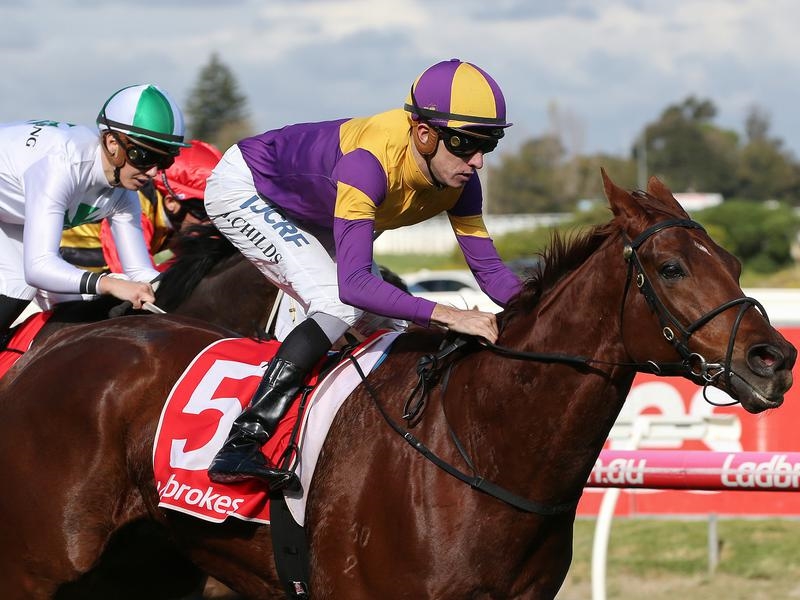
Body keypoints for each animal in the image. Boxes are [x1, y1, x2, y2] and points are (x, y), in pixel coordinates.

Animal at [0, 171, 794, 599]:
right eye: (671, 268)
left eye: (730, 260)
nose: (774, 358)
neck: (480, 447)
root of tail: (54, 349)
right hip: (38, 566)